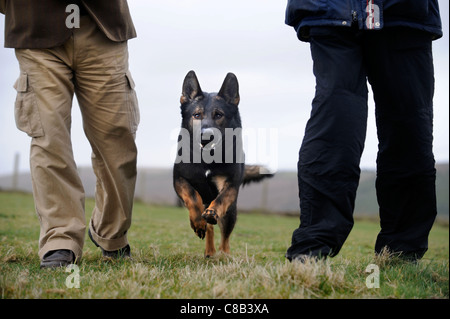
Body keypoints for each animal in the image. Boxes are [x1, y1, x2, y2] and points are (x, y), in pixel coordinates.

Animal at [174, 70, 272, 258]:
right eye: (197, 115)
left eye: (218, 115)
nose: (206, 137)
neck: (207, 159)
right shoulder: (179, 179)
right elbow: (192, 196)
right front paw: (197, 222)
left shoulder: (230, 186)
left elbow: (220, 200)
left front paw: (212, 212)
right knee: (210, 229)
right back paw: (209, 250)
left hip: (231, 212)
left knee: (225, 235)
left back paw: (224, 254)